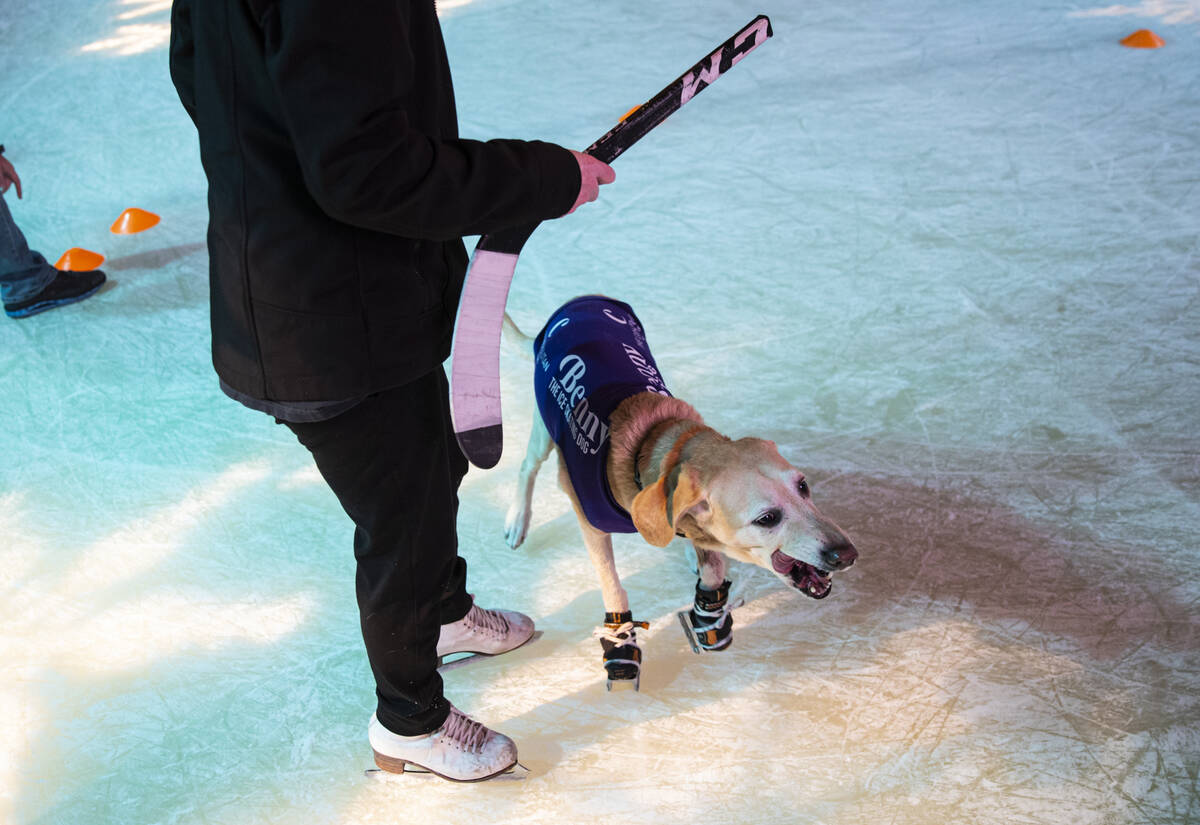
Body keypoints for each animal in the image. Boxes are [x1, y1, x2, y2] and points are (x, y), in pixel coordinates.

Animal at [501, 296, 859, 690]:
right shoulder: (591, 523)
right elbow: (612, 584)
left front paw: (709, 611)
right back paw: (517, 519)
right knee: (526, 467)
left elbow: (712, 565)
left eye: (803, 486)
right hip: (544, 431)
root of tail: (579, 303)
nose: (847, 554)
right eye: (767, 518)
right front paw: (621, 642)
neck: (654, 443)